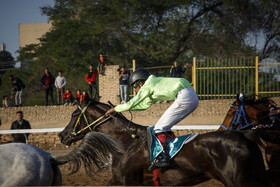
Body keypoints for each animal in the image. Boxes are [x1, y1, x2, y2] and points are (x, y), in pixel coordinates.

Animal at [59, 98, 272, 186]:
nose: (62, 135)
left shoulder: (128, 181)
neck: (125, 142)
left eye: (74, 114)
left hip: (241, 181)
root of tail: (246, 136)